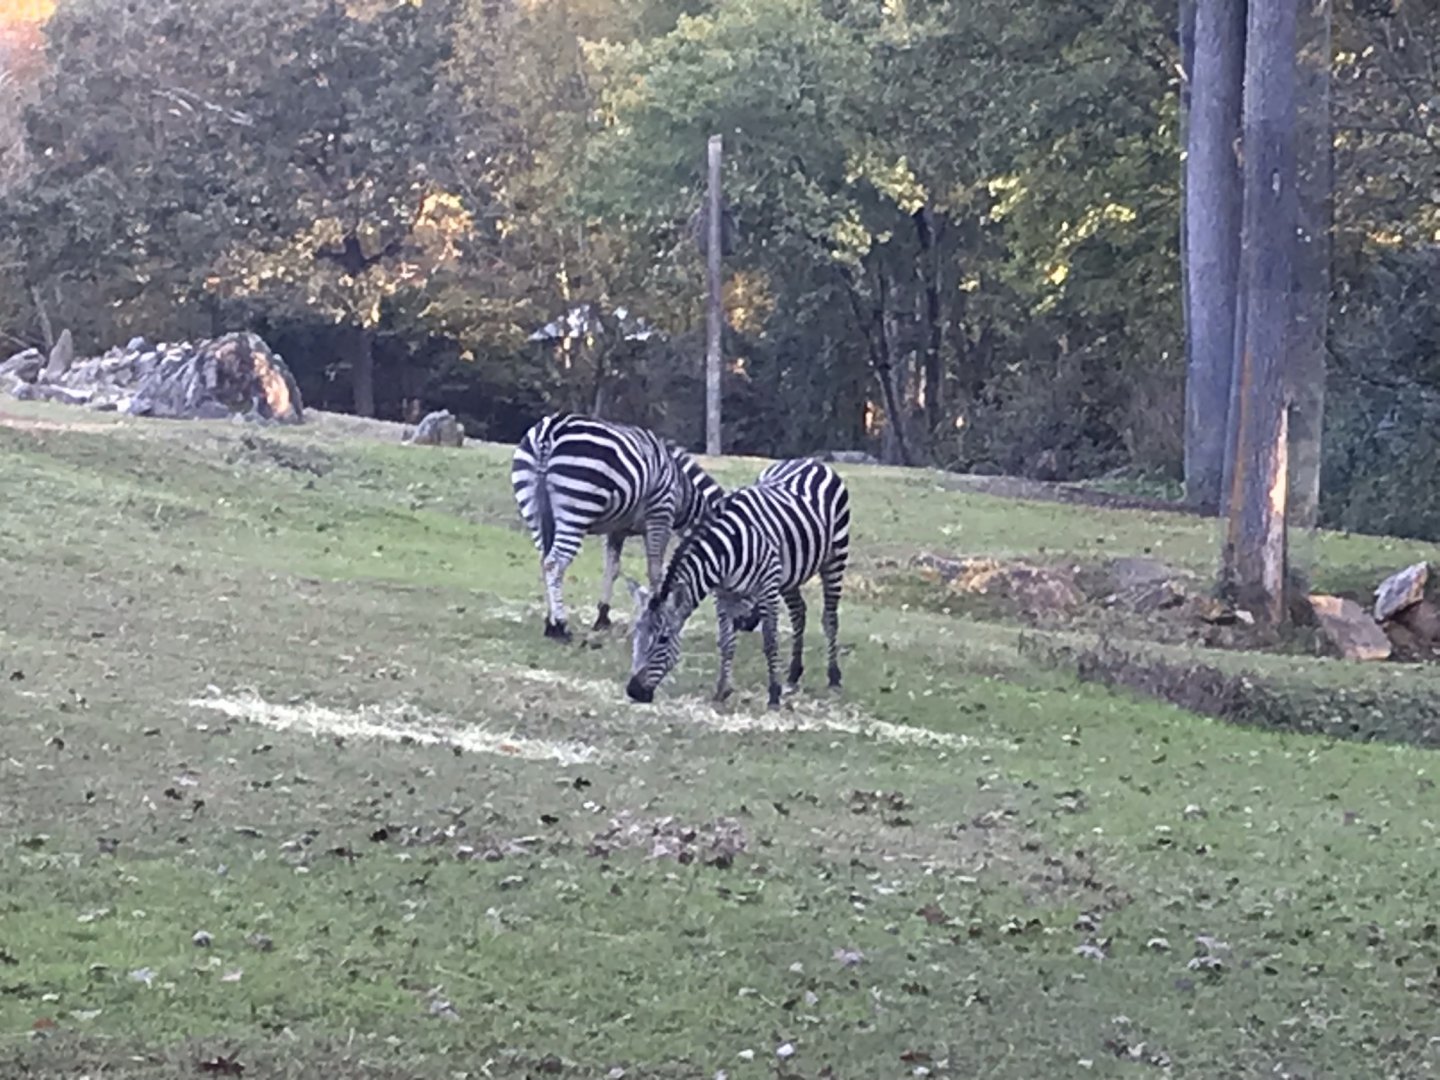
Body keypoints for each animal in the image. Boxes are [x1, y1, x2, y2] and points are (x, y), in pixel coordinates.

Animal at [511, 412, 724, 642]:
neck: (680, 488)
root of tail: (549, 431)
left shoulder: (617, 529)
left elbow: (612, 569)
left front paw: (603, 617)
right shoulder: (660, 516)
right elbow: (656, 570)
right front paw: (656, 613)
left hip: (533, 507)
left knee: (544, 561)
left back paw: (550, 623)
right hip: (577, 507)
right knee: (554, 563)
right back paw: (560, 625)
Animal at [625, 457, 850, 708]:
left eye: (663, 639)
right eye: (636, 632)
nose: (633, 692)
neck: (726, 550)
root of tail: (810, 461)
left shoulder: (766, 587)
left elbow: (770, 640)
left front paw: (774, 694)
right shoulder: (723, 593)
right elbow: (726, 641)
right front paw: (722, 690)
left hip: (835, 557)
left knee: (830, 619)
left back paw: (833, 677)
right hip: (789, 574)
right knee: (798, 612)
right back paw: (793, 675)